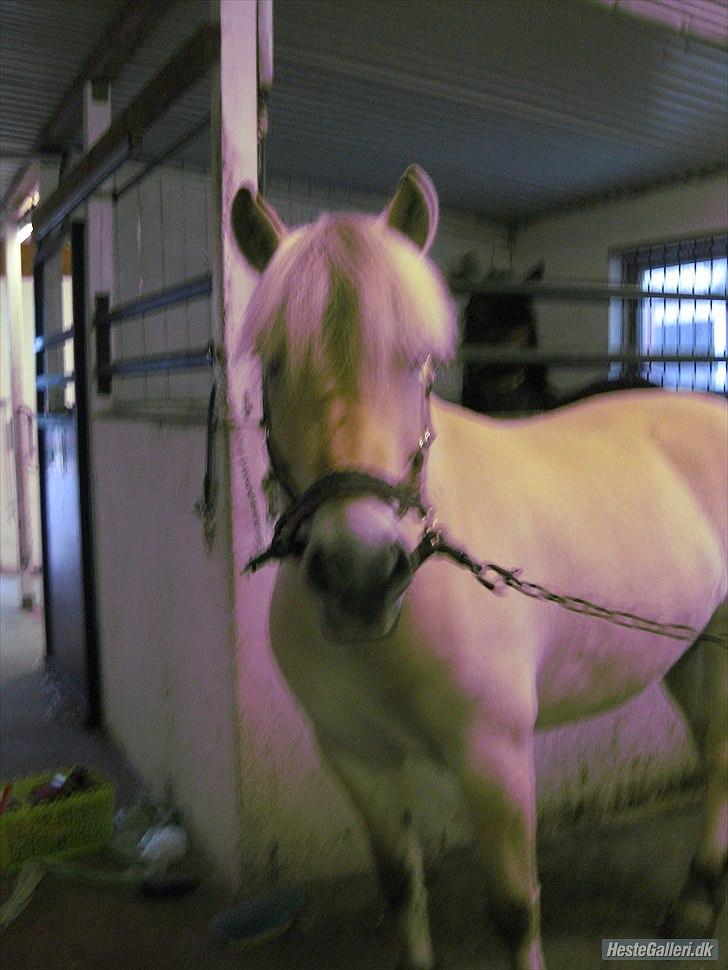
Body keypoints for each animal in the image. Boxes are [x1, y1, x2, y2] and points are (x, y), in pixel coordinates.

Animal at [231, 165, 728, 970]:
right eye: (273, 362)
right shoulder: (355, 759)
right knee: (717, 755)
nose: (360, 576)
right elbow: (401, 888)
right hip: (691, 649)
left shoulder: (493, 758)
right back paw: (695, 897)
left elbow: (513, 911)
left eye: (418, 362)